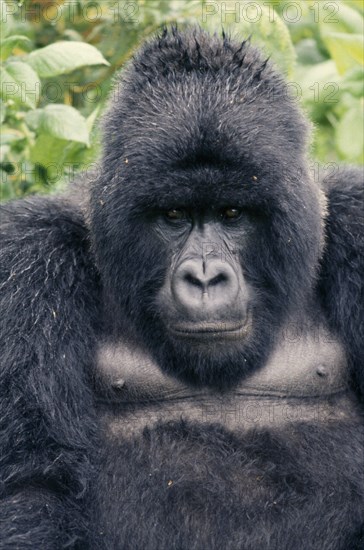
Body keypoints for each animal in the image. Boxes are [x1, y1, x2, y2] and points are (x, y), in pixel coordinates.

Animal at [0, 27, 364, 550]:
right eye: (174, 215)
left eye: (232, 214)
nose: (205, 278)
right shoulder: (27, 258)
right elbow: (33, 486)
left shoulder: (358, 219)